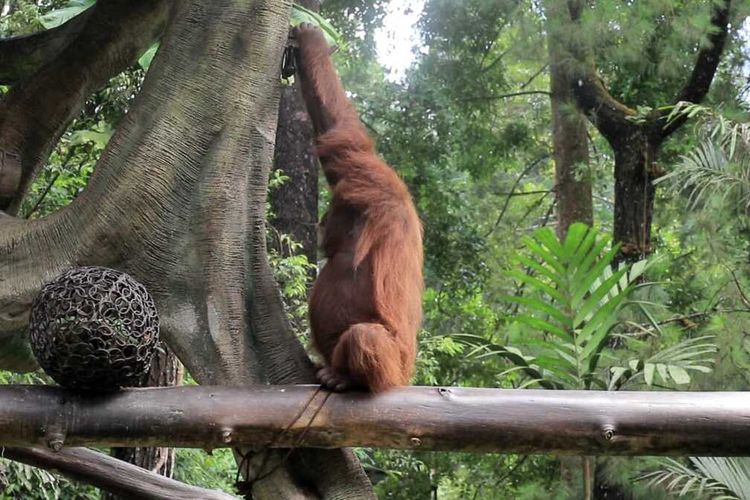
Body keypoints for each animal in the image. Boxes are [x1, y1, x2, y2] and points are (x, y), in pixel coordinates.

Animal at [293, 23, 423, 392]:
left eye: (331, 214)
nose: (322, 221)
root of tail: (405, 378)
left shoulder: (371, 179)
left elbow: (342, 139)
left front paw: (311, 40)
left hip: (394, 370)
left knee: (365, 336)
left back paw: (345, 378)